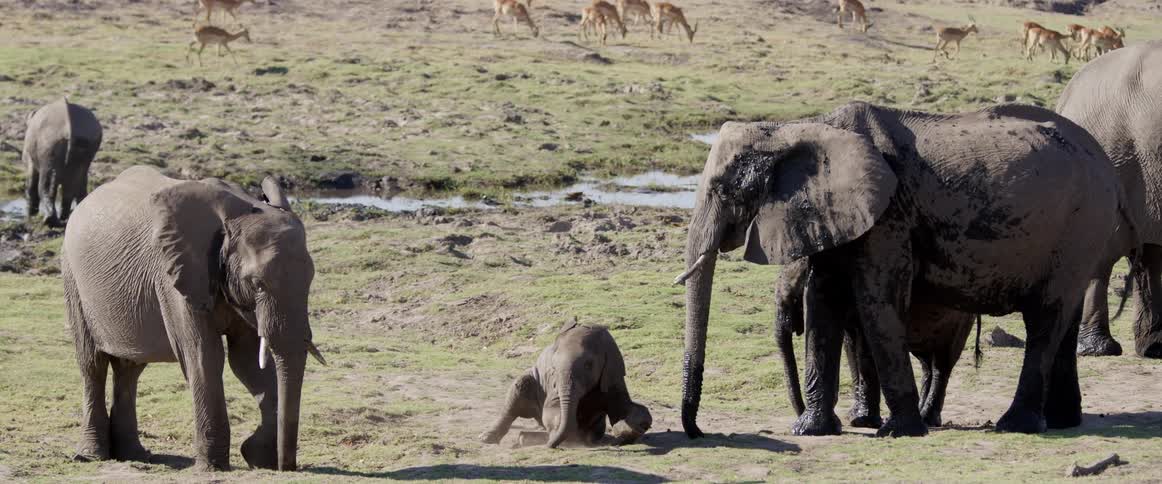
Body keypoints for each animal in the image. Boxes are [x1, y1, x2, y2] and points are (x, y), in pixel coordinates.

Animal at [23, 98, 103, 226]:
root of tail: (69, 128)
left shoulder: (31, 158)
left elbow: (31, 183)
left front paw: (31, 216)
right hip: (84, 153)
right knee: (72, 187)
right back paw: (65, 217)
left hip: (49, 150)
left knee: (46, 187)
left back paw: (50, 221)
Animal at [61, 166, 325, 471]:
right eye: (257, 284)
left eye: (311, 278)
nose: (287, 467)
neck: (238, 213)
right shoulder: (174, 276)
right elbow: (204, 355)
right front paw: (213, 467)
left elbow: (247, 361)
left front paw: (257, 457)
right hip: (73, 281)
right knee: (92, 364)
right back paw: (92, 455)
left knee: (130, 368)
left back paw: (134, 456)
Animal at [479, 321, 652, 448]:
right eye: (553, 367)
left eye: (588, 365)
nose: (549, 446)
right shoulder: (554, 384)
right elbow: (552, 410)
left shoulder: (612, 375)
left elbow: (627, 411)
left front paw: (627, 431)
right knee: (516, 396)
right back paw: (492, 438)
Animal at [775, 259, 979, 433]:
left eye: (796, 299)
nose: (800, 411)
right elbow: (851, 346)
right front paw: (854, 417)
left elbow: (865, 346)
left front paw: (862, 421)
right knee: (926, 363)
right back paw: (921, 414)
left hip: (962, 318)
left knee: (942, 363)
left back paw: (928, 418)